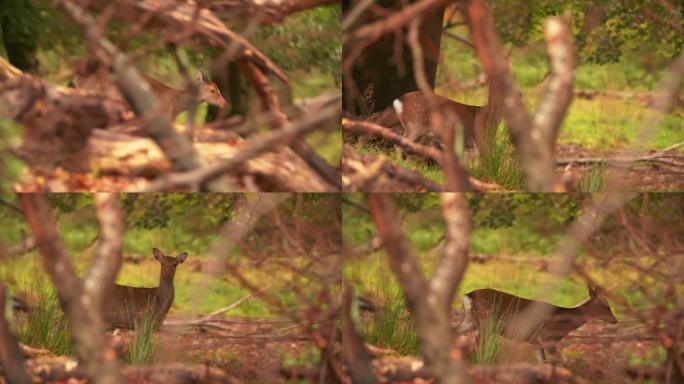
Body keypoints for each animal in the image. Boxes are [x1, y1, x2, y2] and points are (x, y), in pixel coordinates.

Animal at [454, 286, 620, 362]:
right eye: (607, 306)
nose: (615, 321)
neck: (563, 324)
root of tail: (467, 296)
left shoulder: (536, 341)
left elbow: (542, 362)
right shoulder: (547, 338)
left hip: (470, 321)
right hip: (486, 323)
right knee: (479, 347)